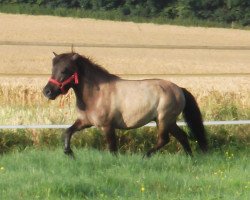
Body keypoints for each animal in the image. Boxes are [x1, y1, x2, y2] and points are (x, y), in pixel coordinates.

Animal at [43, 52, 207, 158]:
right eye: (53, 69)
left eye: (65, 70)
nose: (47, 91)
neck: (96, 94)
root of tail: (179, 89)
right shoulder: (85, 122)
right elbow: (67, 132)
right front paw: (69, 152)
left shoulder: (107, 126)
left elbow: (112, 148)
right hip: (169, 121)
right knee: (182, 136)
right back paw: (190, 158)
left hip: (163, 119)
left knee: (164, 139)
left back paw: (145, 155)